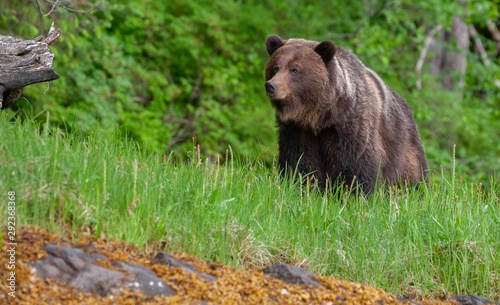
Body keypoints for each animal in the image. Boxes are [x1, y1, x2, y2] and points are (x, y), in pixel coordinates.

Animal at [264, 35, 428, 192]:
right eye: (275, 67)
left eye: (294, 70)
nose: (271, 86)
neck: (318, 116)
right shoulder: (298, 130)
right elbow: (300, 163)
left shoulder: (351, 126)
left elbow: (358, 167)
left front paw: (359, 193)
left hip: (402, 143)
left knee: (413, 173)